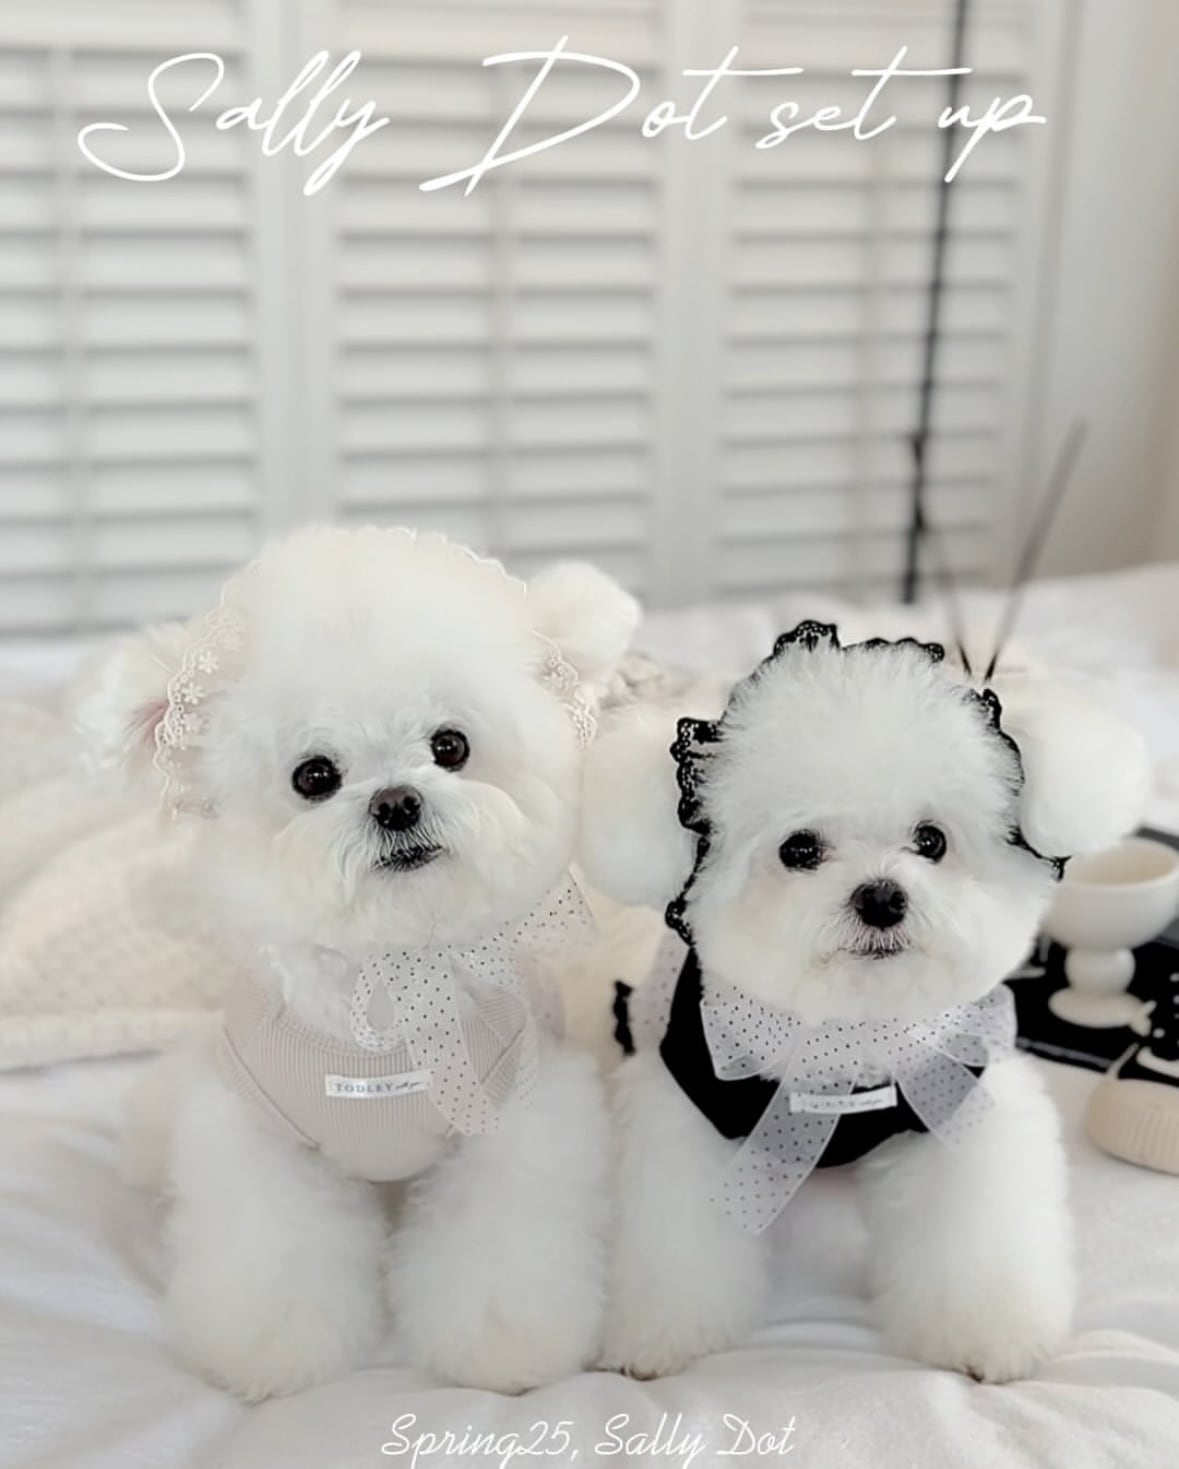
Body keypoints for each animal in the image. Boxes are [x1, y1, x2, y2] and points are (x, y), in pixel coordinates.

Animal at [82, 525, 638, 1399]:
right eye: (315, 775)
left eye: (450, 745)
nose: (396, 802)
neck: (390, 977)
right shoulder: (259, 1136)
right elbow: (274, 1253)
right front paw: (270, 1349)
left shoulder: (517, 1121)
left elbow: (501, 1249)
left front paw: (501, 1345)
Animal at [580, 622, 1148, 1383]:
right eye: (798, 849)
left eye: (931, 840)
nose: (880, 897)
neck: (848, 1038)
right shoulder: (691, 1113)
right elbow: (677, 1245)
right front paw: (657, 1336)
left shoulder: (954, 1096)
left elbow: (973, 1237)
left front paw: (988, 1334)